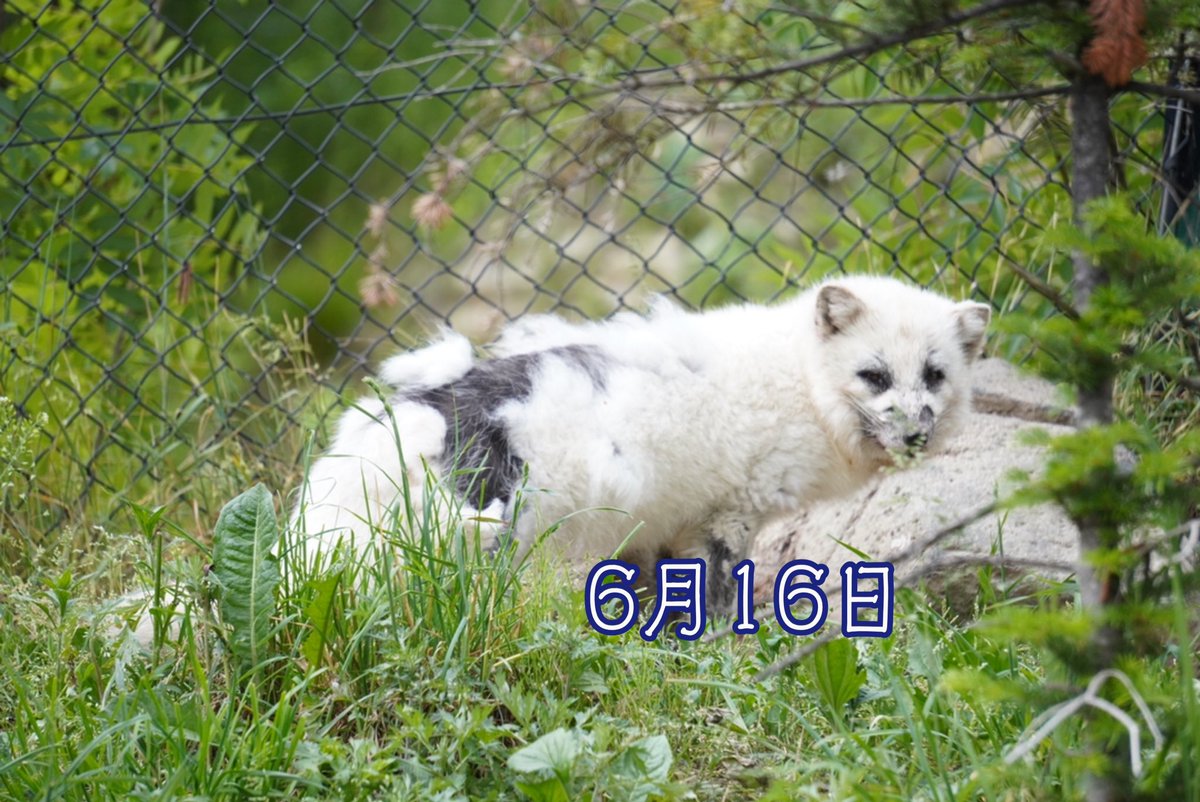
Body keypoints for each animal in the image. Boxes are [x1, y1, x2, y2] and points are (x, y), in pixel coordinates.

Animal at [295, 278, 988, 609]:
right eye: (874, 377)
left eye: (935, 375)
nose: (917, 432)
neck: (797, 379)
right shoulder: (726, 516)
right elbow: (714, 591)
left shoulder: (659, 529)